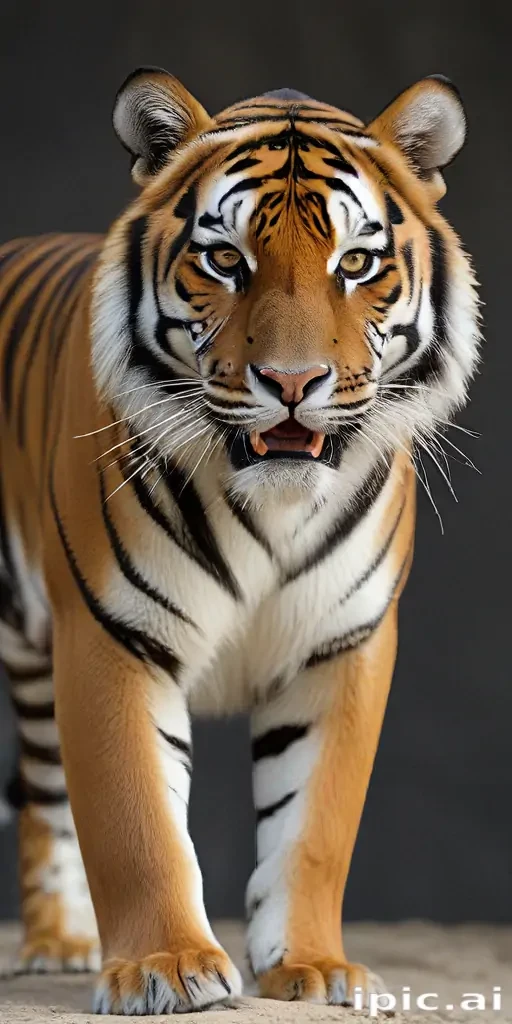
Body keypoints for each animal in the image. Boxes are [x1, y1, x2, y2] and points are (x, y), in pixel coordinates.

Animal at [0, 66, 479, 1013]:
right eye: (225, 260)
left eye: (356, 263)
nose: (292, 383)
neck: (273, 507)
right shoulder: (112, 635)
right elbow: (135, 820)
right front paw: (167, 967)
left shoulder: (343, 643)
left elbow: (314, 826)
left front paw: (315, 967)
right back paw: (61, 944)